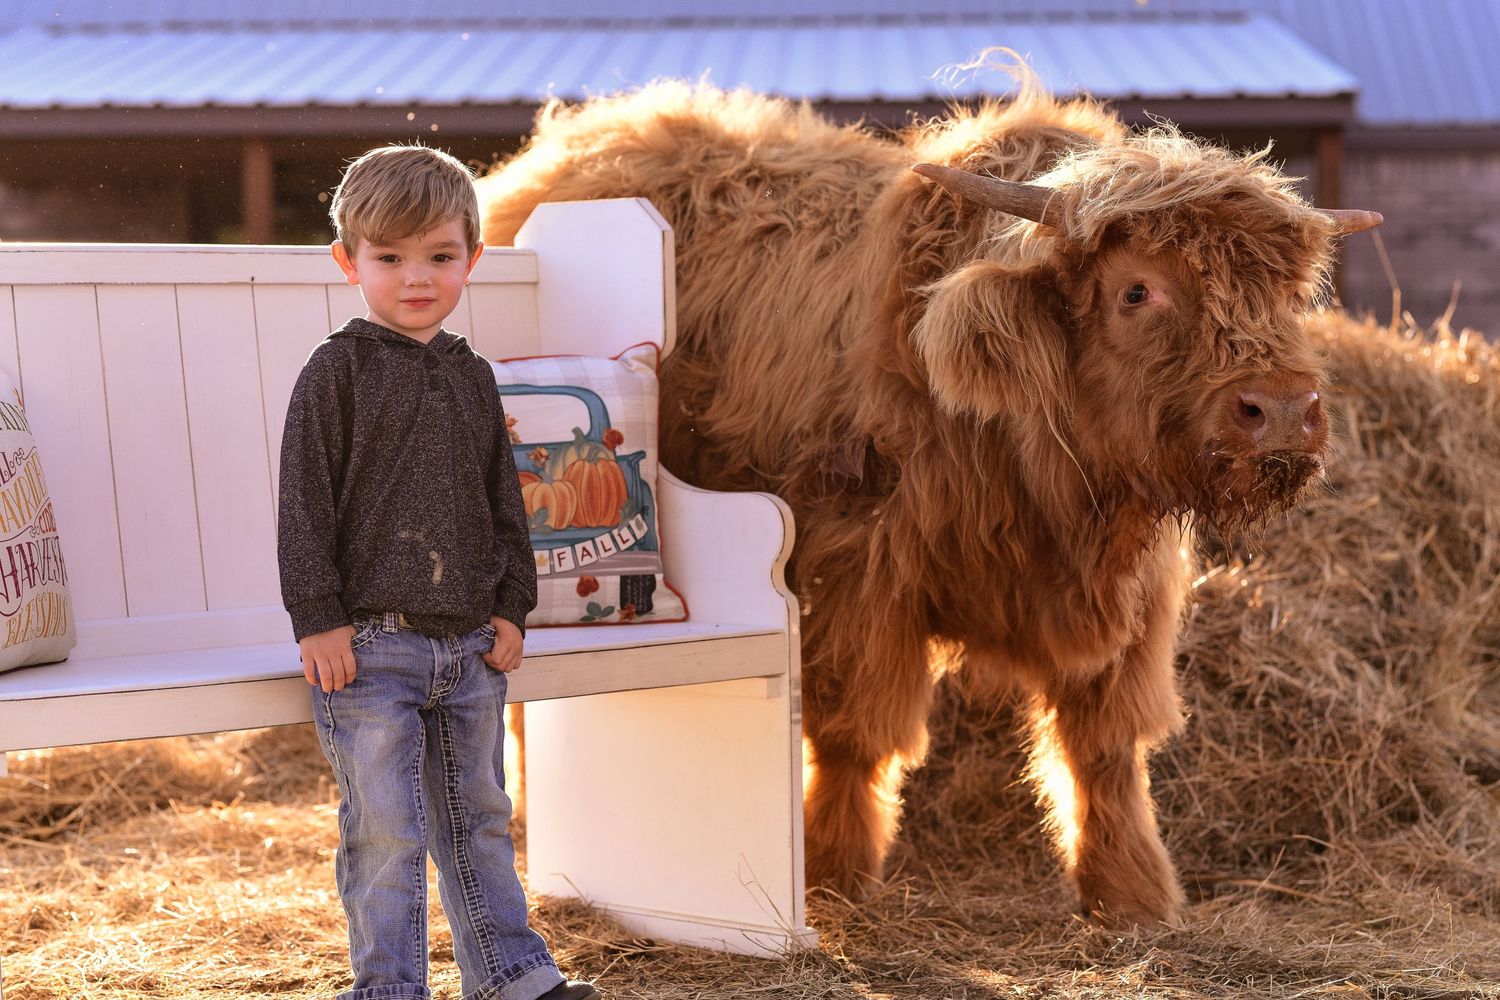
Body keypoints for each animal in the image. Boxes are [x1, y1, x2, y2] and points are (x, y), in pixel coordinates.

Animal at [476, 76, 1379, 924]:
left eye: (1283, 294)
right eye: (1135, 291)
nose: (1284, 411)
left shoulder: (1132, 600)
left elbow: (1104, 746)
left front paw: (1132, 896)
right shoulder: (857, 574)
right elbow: (855, 732)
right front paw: (830, 872)